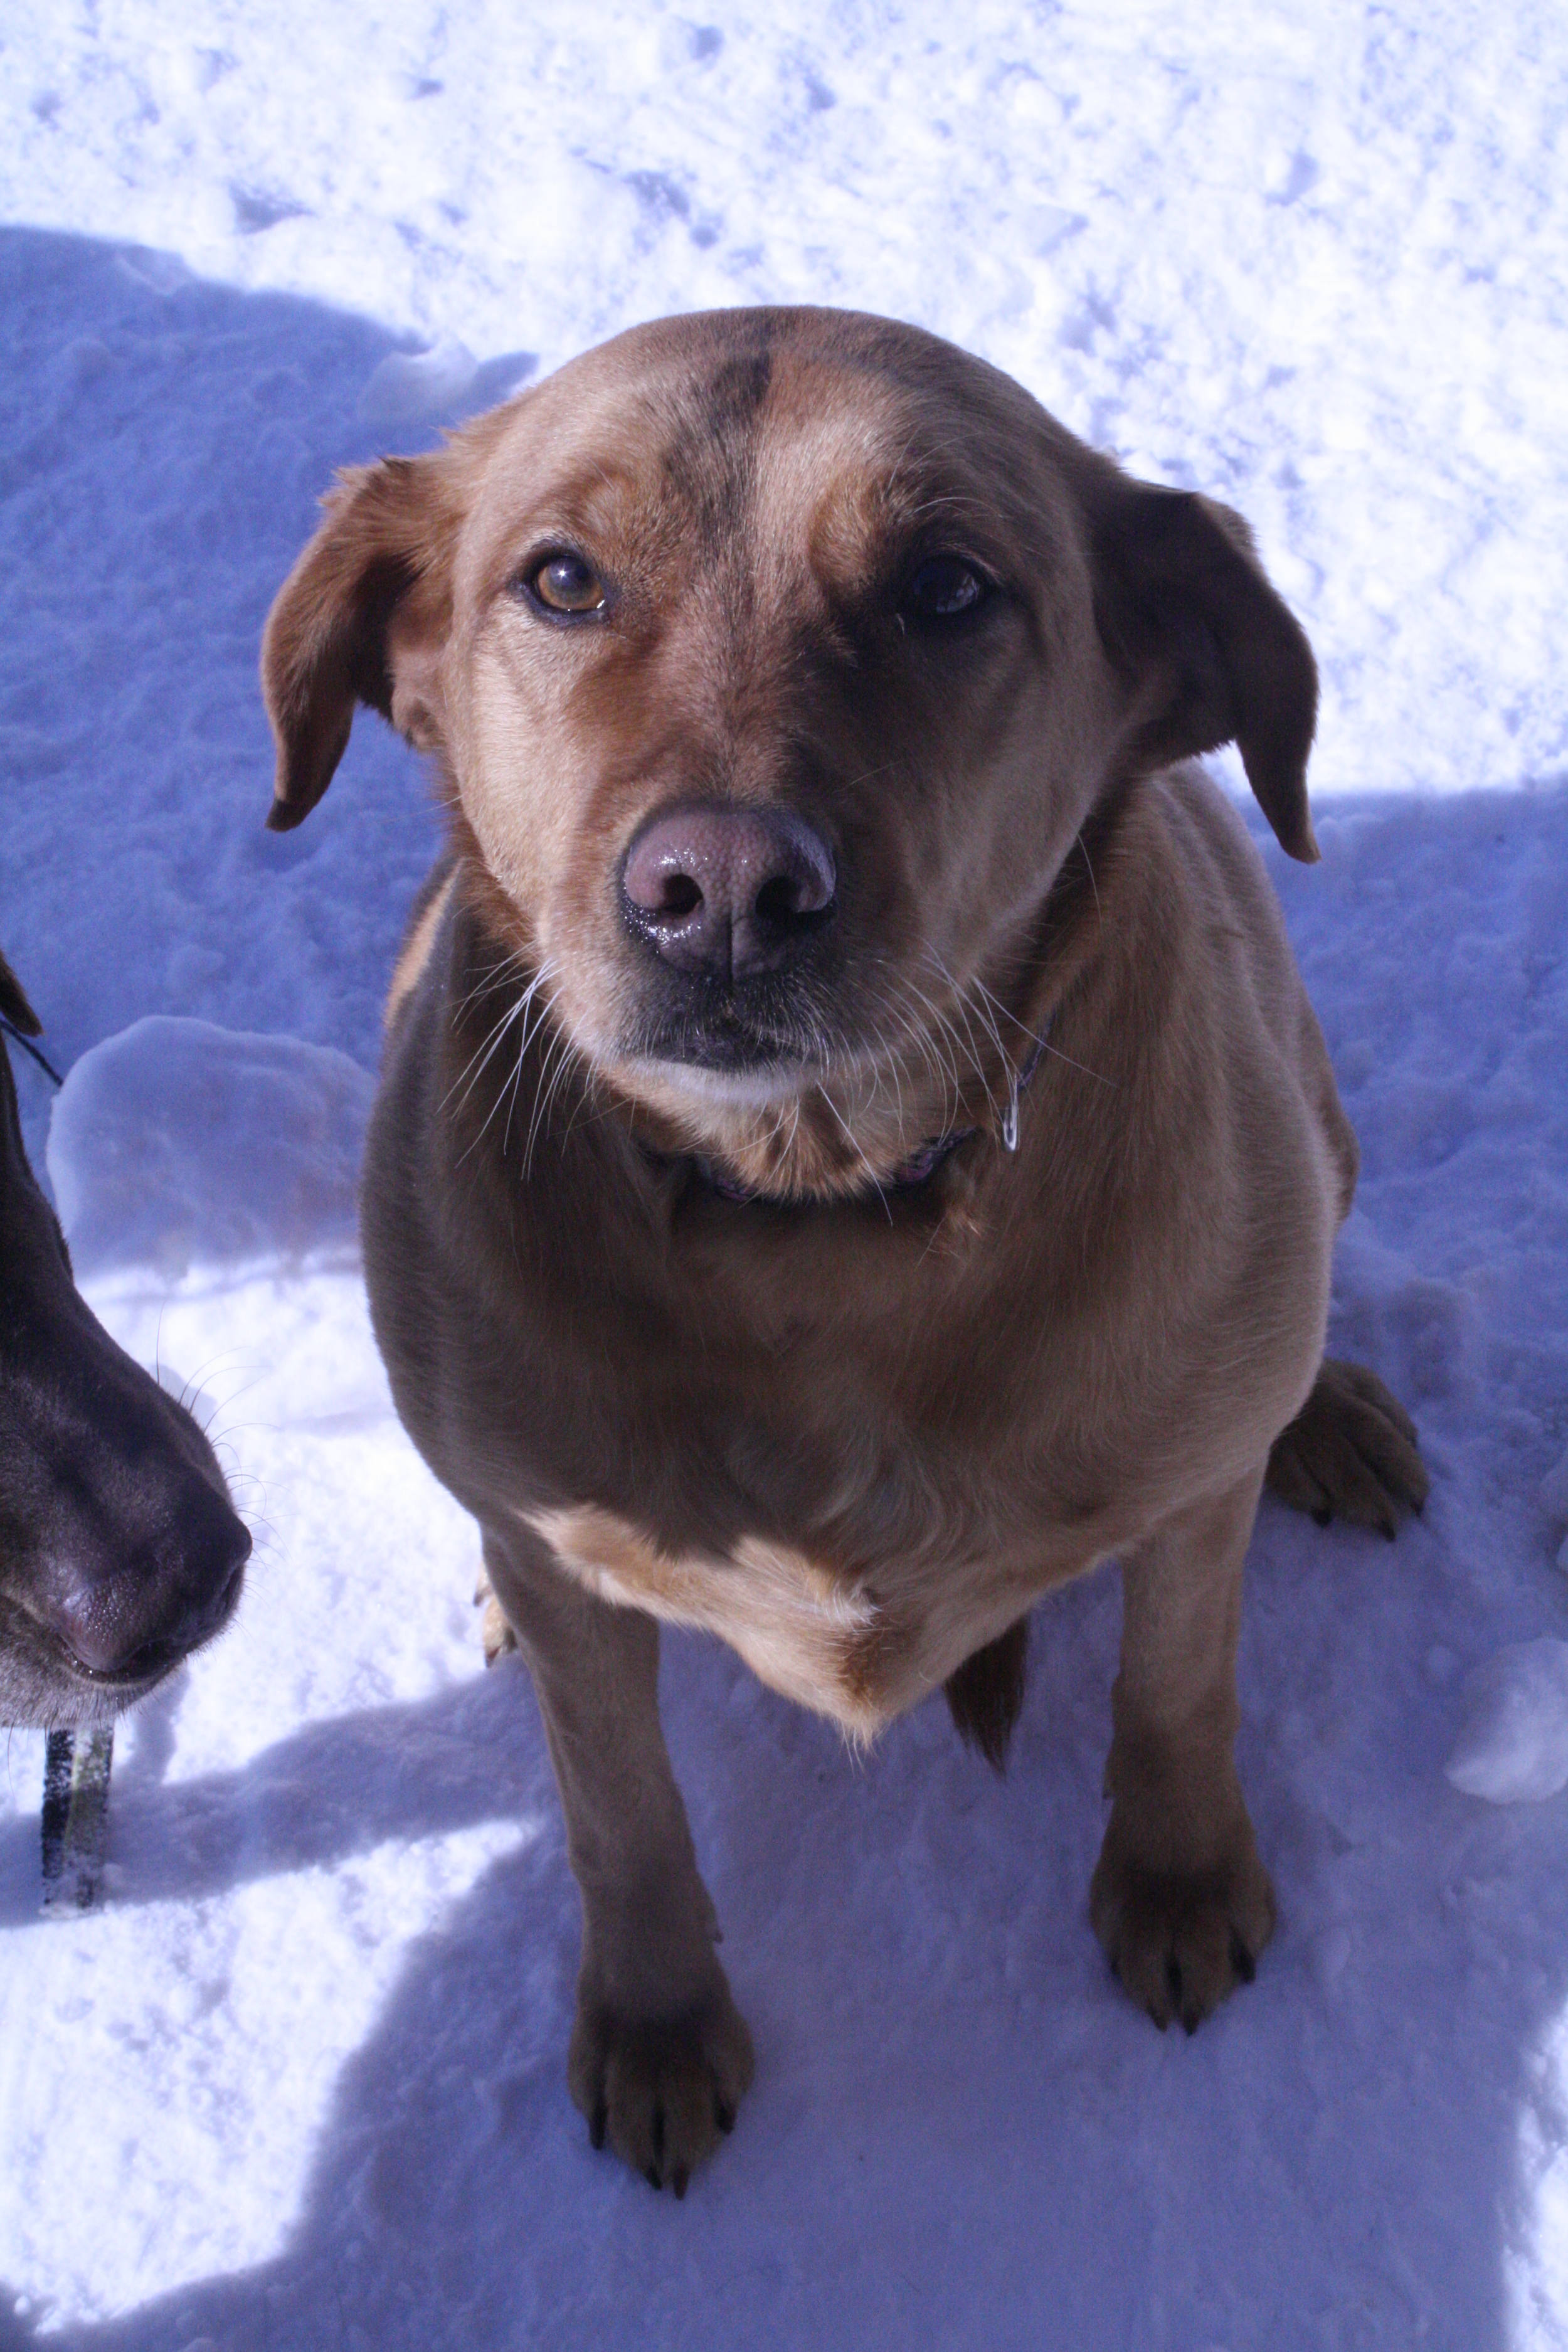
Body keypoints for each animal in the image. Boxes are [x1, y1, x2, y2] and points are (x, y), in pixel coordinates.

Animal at [263, 308, 1429, 2183]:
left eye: (946, 588)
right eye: (563, 578)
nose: (722, 891)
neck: (813, 1220)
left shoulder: (1184, 1503)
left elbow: (1177, 1680)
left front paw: (1180, 1879)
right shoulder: (581, 1583)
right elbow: (618, 1805)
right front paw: (658, 2019)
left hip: (1308, 1119)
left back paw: (1326, 1412)